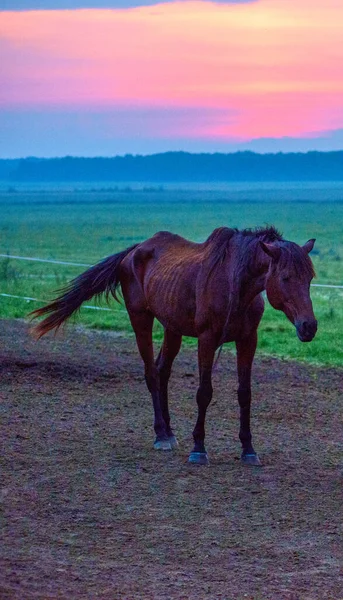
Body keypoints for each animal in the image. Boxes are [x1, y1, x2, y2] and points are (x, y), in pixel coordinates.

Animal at [30, 227, 318, 466]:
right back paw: (160, 435)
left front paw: (248, 449)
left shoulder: (248, 340)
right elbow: (204, 393)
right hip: (141, 319)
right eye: (285, 277)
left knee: (162, 371)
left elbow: (244, 394)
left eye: (310, 278)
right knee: (151, 373)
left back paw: (169, 432)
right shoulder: (206, 340)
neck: (234, 284)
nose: (309, 326)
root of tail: (135, 250)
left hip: (172, 328)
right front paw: (199, 448)